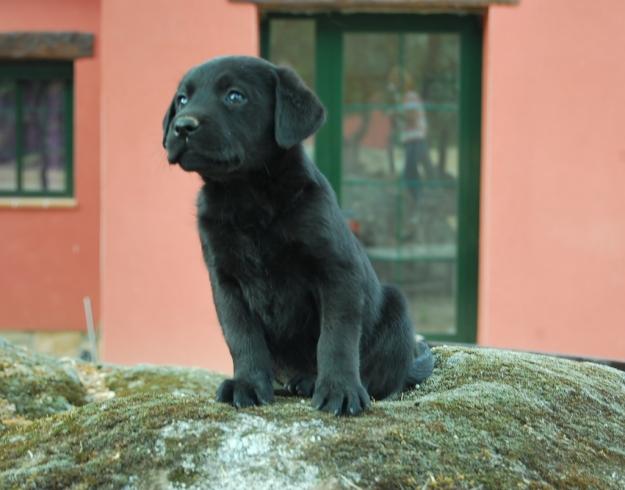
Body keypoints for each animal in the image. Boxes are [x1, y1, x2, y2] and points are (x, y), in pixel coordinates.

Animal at [163, 55, 432, 416]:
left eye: (235, 96)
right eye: (182, 99)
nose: (182, 126)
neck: (246, 197)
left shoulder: (337, 271)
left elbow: (336, 338)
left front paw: (339, 390)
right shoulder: (225, 280)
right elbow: (241, 336)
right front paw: (248, 384)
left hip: (397, 311)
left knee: (379, 377)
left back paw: (313, 382)